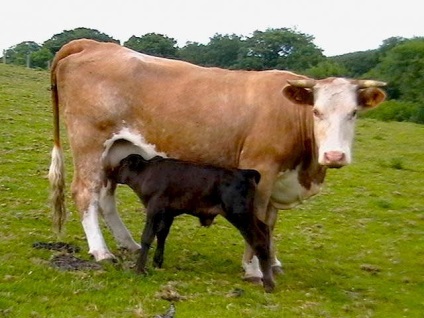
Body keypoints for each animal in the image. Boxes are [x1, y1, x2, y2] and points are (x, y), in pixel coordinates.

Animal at [48, 38, 386, 284]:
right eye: (316, 111)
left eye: (353, 113)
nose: (334, 155)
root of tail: (94, 44)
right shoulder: (261, 169)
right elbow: (259, 221)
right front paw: (254, 270)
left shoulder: (279, 177)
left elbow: (271, 222)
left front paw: (272, 261)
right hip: (89, 143)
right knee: (85, 193)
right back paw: (101, 251)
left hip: (116, 152)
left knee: (105, 196)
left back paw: (127, 243)